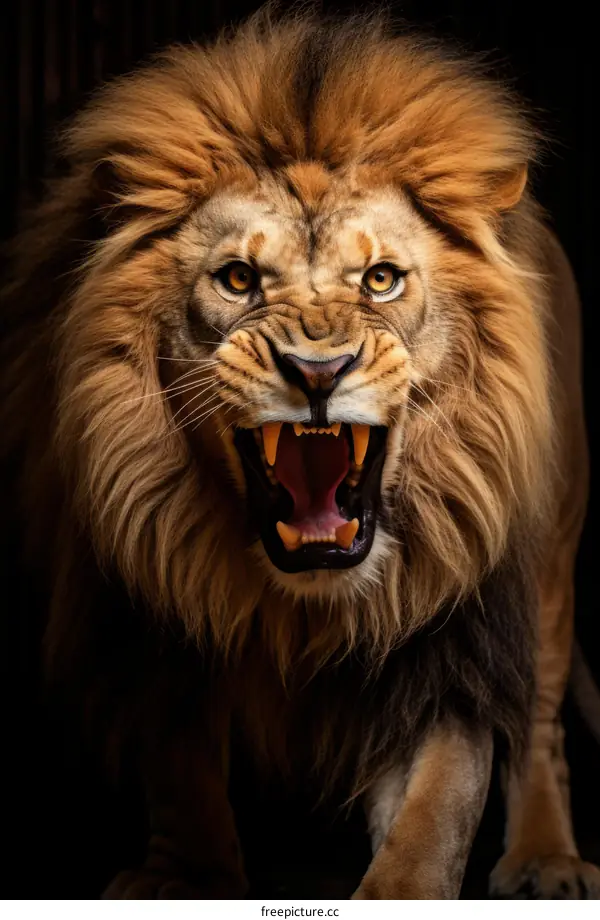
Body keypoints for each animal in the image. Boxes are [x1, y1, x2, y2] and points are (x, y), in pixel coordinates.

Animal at [1, 9, 598, 899]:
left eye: (381, 279)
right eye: (238, 278)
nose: (319, 371)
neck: (304, 604)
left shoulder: (449, 637)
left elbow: (436, 808)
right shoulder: (150, 614)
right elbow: (179, 768)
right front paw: (184, 877)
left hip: (552, 560)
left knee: (539, 719)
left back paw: (545, 859)